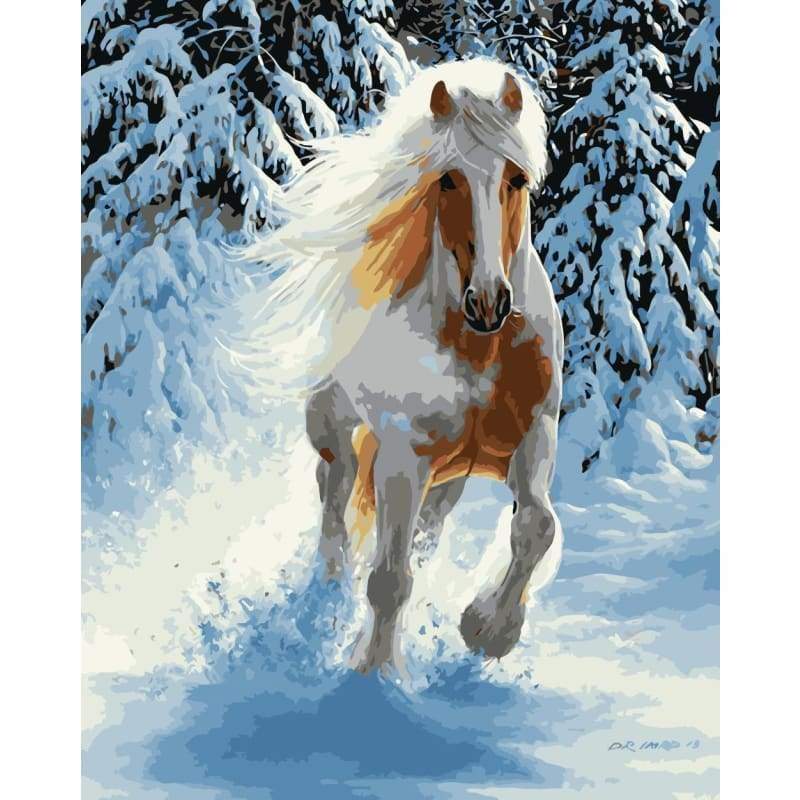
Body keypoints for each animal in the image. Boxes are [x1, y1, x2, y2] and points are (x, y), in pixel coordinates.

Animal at [240, 59, 564, 675]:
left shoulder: (534, 434)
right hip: (337, 428)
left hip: (448, 475)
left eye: (515, 178)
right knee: (336, 498)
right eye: (447, 179)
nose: (489, 302)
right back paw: (326, 597)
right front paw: (375, 673)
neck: (480, 350)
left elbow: (536, 526)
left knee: (421, 532)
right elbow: (389, 579)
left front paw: (487, 629)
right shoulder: (402, 455)